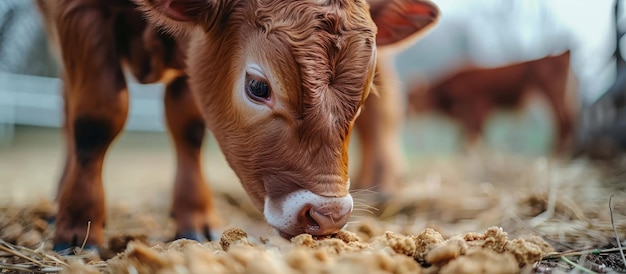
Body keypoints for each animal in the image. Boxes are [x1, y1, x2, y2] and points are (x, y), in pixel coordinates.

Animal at [37, 0, 438, 249]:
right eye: (258, 87)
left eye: (366, 91)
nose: (328, 216)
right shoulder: (76, 15)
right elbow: (97, 116)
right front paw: (80, 227)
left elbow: (187, 123)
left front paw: (194, 217)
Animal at [404, 50, 576, 152]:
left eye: (412, 98)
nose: (407, 114)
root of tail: (563, 54)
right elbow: (467, 137)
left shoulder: (476, 107)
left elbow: (474, 136)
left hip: (552, 95)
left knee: (563, 121)